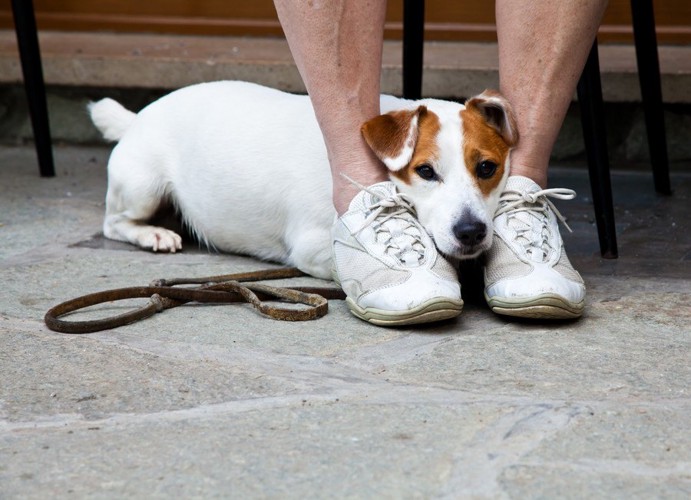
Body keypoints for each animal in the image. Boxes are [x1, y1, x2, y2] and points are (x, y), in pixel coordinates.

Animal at [89, 80, 516, 280]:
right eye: (425, 171)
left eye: (487, 168)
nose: (471, 232)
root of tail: (137, 116)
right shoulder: (312, 247)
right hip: (143, 186)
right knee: (113, 223)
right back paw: (153, 234)